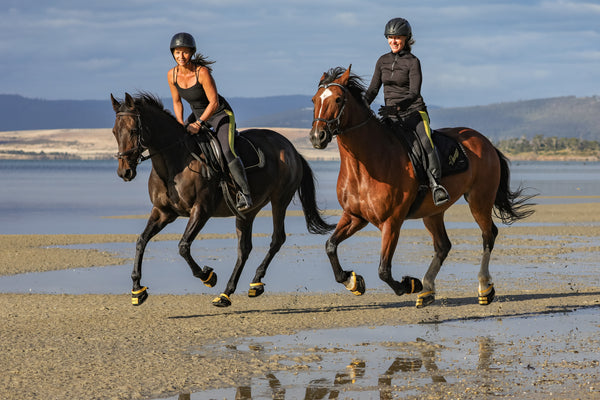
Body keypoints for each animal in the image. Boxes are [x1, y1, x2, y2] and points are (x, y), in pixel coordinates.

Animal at [111, 92, 332, 308]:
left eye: (133, 130)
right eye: (114, 132)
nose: (124, 172)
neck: (174, 162)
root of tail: (291, 149)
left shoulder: (201, 210)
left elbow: (183, 246)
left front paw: (208, 276)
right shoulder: (163, 212)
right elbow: (141, 240)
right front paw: (137, 290)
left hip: (280, 200)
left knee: (277, 239)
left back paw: (255, 282)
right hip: (247, 211)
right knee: (244, 249)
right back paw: (226, 294)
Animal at [310, 67, 536, 308]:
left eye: (338, 99)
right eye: (314, 99)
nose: (317, 137)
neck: (366, 164)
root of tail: (486, 142)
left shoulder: (391, 222)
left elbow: (383, 270)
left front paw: (409, 284)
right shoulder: (354, 216)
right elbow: (330, 246)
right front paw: (353, 282)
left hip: (479, 201)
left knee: (488, 235)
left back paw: (483, 288)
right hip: (433, 212)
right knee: (443, 246)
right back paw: (427, 290)